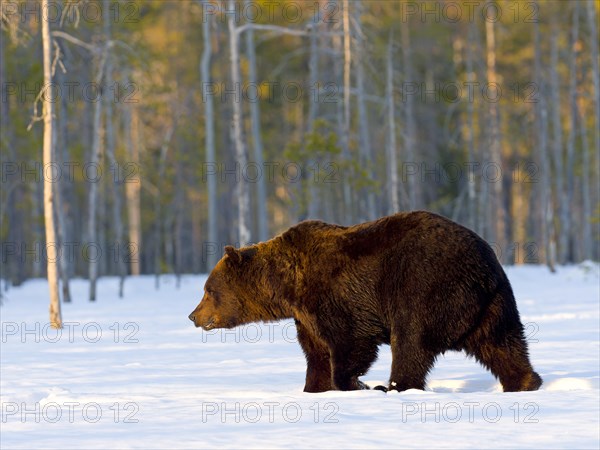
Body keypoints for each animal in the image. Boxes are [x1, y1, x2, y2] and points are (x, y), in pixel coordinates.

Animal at [189, 213, 544, 392]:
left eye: (207, 290)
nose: (193, 315)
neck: (288, 286)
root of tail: (484, 265)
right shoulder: (305, 317)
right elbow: (316, 354)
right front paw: (313, 388)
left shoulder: (334, 297)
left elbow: (350, 343)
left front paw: (353, 383)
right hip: (494, 304)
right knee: (504, 344)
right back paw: (525, 381)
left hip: (422, 286)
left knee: (411, 341)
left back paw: (394, 387)